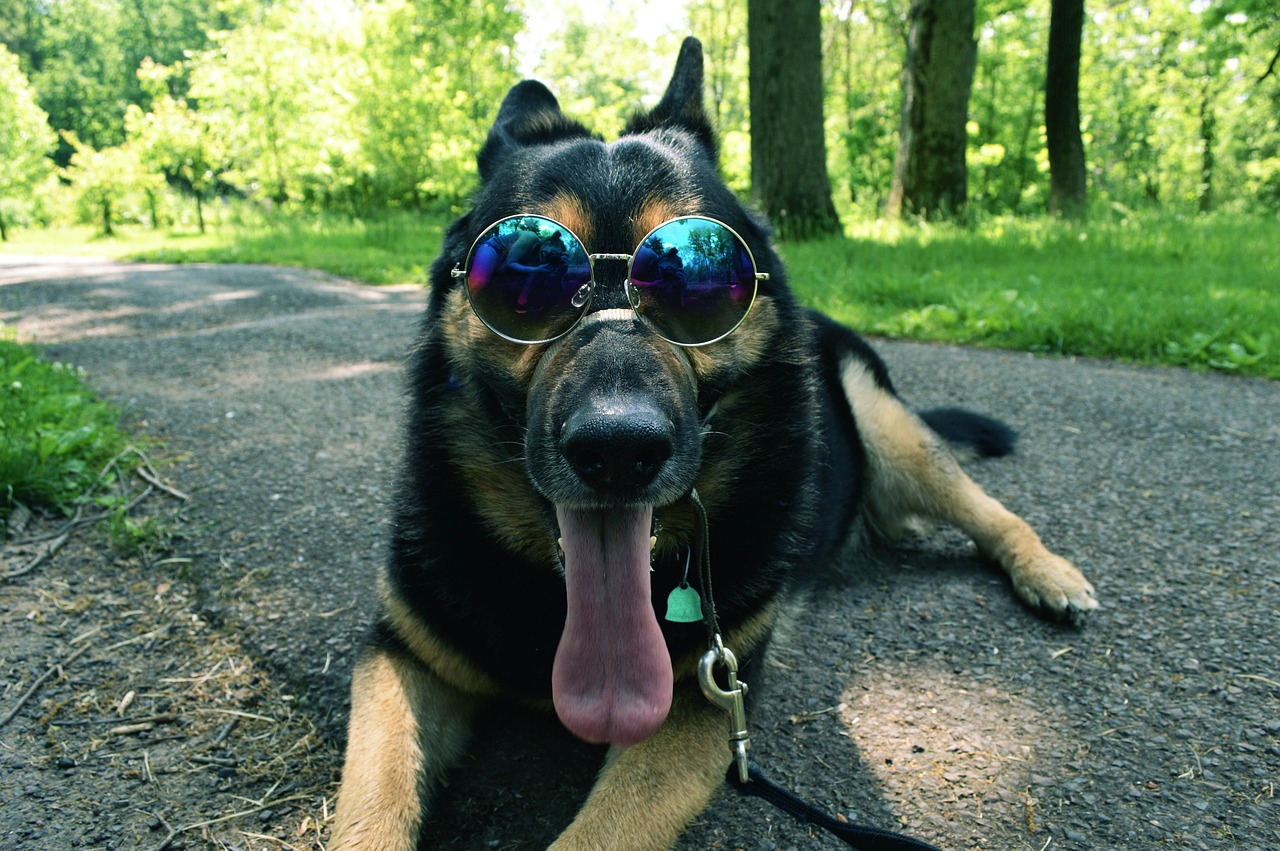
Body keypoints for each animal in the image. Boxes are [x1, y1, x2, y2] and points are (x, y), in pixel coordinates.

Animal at [332, 36, 1100, 844]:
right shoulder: (402, 657)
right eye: (519, 281)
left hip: (890, 432)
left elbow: (598, 832)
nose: (618, 450)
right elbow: (371, 802)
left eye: (699, 282)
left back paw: (1048, 572)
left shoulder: (707, 696)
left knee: (986, 507)